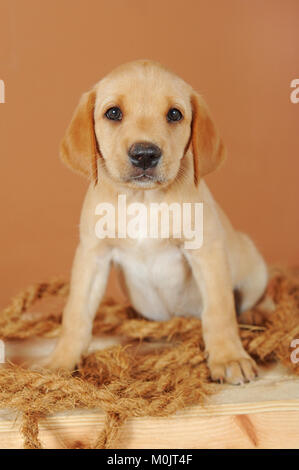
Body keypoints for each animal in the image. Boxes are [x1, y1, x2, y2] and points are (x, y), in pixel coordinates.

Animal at [45, 58, 268, 384]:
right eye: (113, 113)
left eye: (174, 114)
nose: (145, 154)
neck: (143, 200)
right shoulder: (92, 254)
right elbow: (76, 312)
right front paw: (61, 359)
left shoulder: (206, 251)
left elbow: (219, 309)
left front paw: (229, 356)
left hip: (252, 264)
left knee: (254, 297)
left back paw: (255, 313)